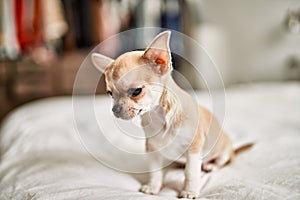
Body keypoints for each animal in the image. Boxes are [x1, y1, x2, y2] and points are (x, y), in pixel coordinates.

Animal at [91, 30, 234, 198]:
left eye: (136, 91)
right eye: (110, 94)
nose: (115, 109)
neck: (158, 117)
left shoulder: (193, 148)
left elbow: (191, 172)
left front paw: (189, 191)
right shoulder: (152, 150)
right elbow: (155, 172)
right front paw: (153, 186)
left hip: (224, 150)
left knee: (222, 161)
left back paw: (210, 166)